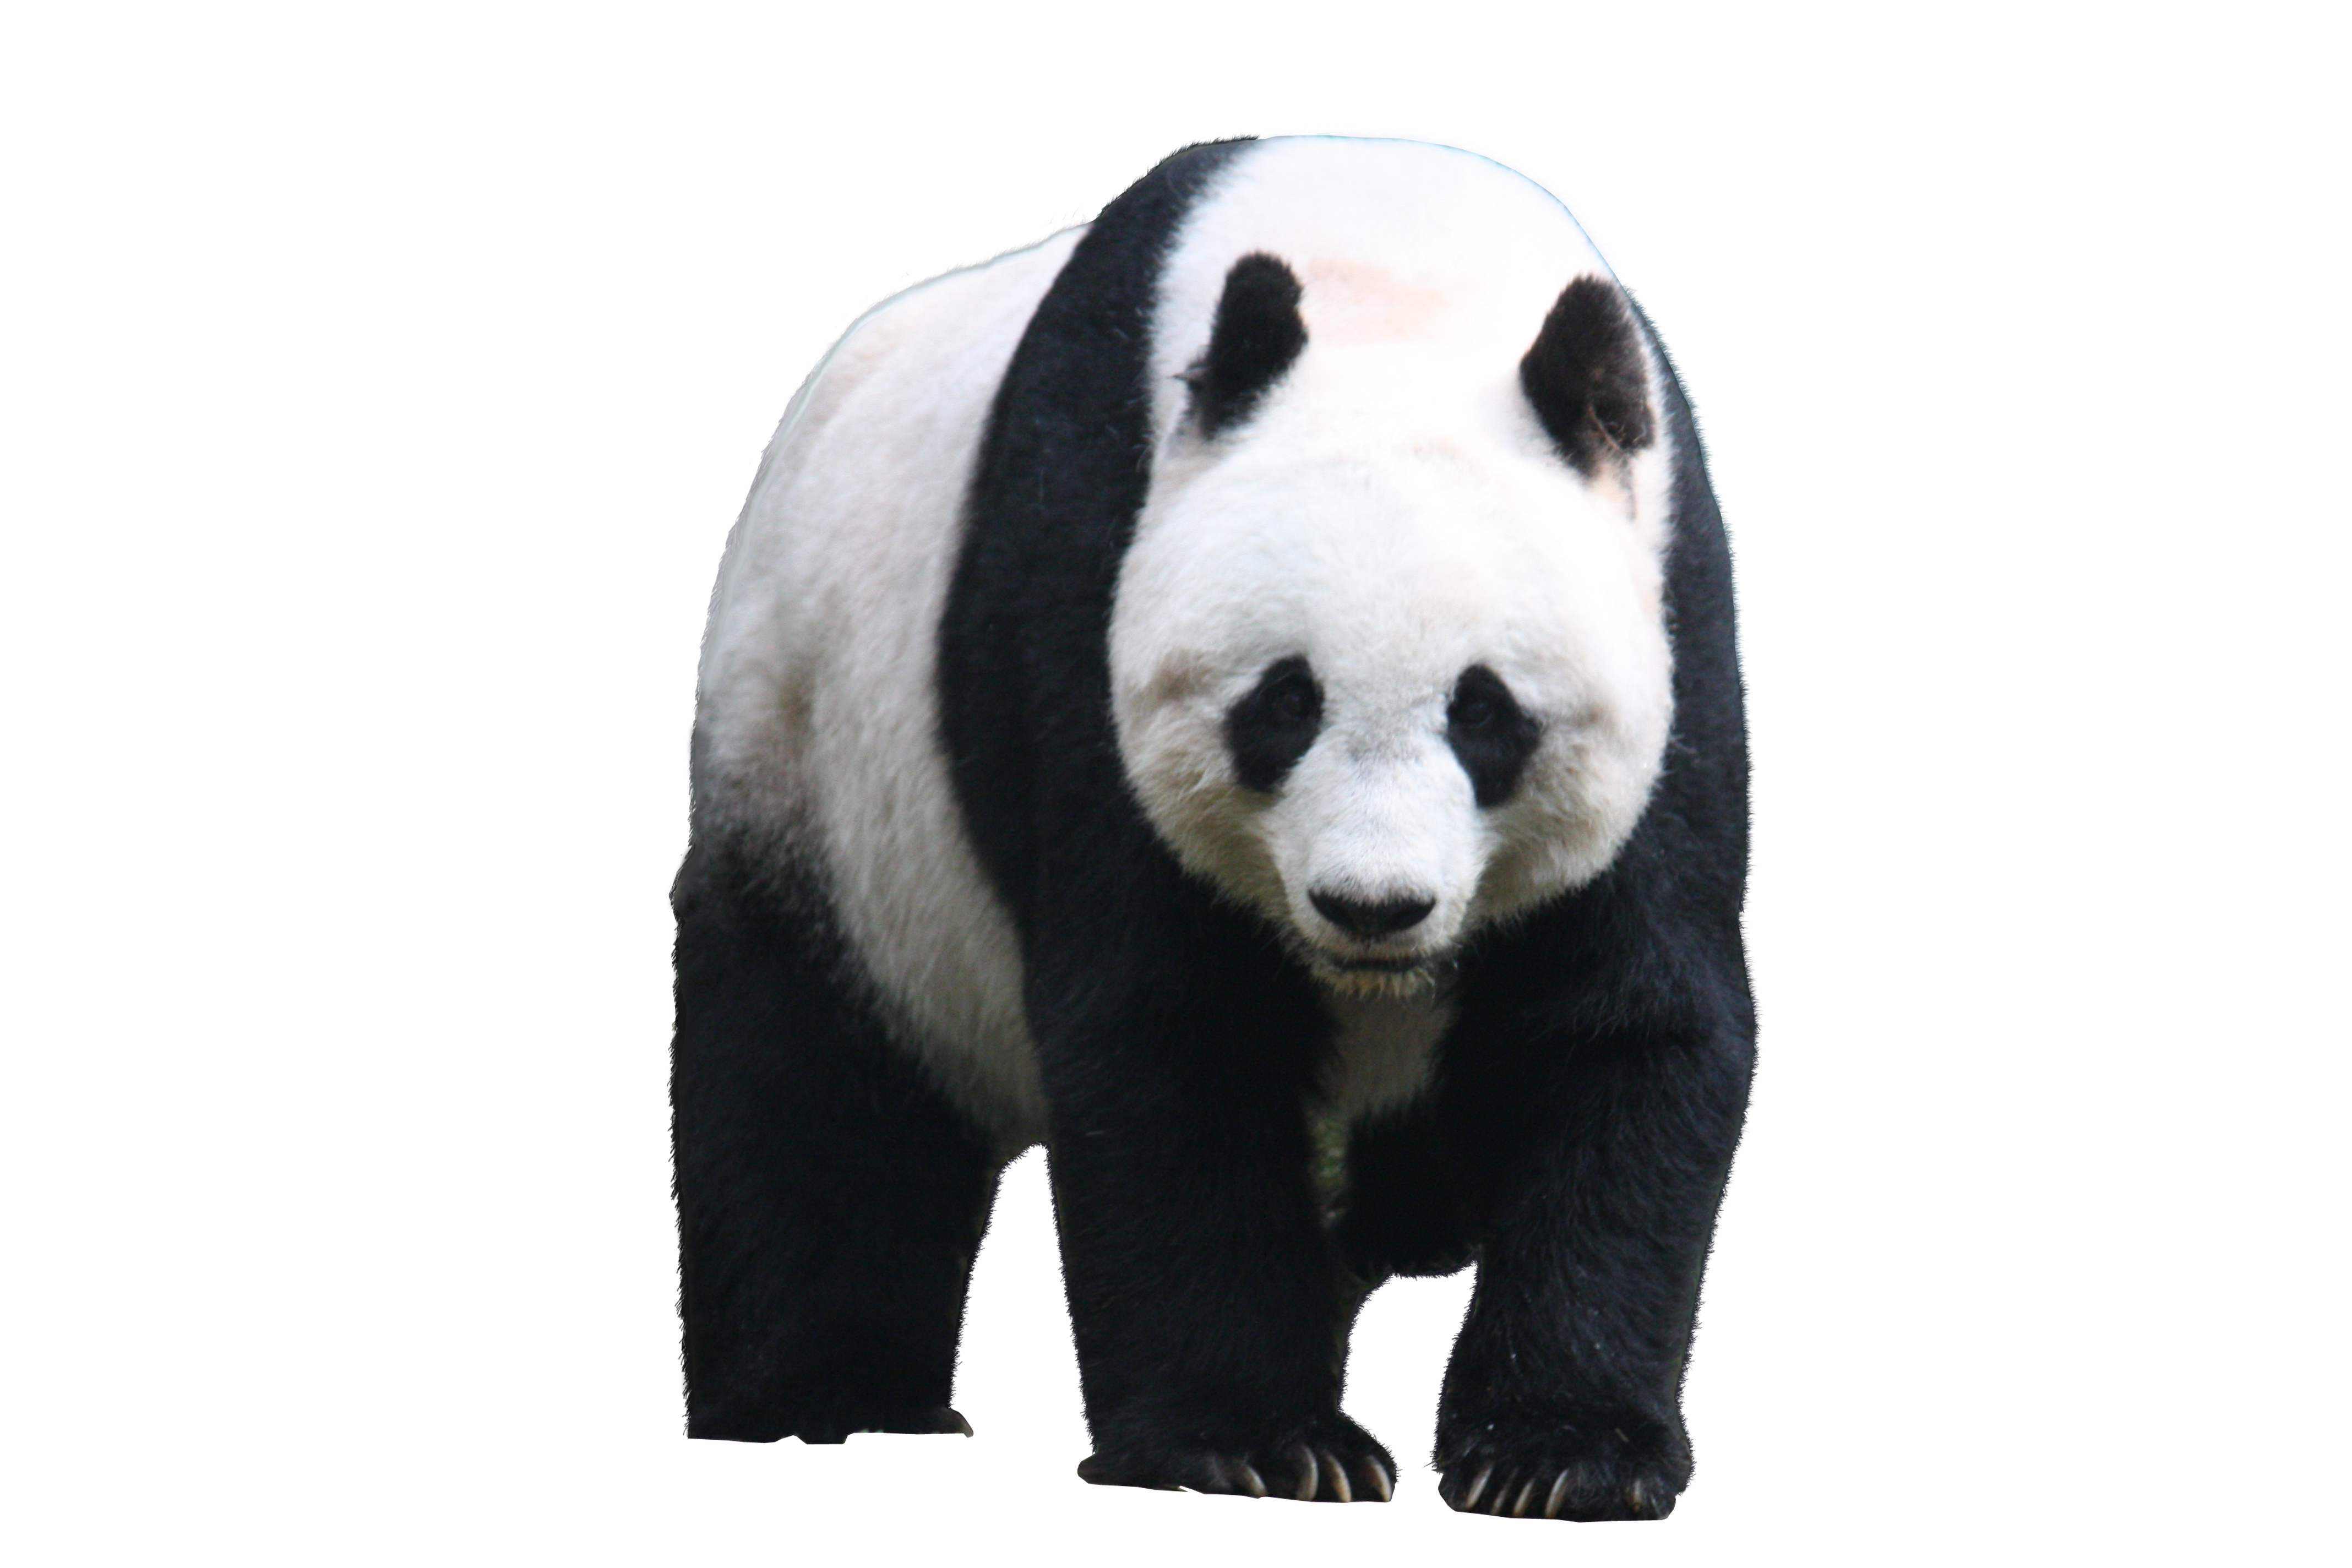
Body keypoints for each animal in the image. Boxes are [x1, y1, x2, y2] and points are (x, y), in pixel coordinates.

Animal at [671, 135, 1753, 1519]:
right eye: (1283, 703)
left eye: (1486, 712)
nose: (1372, 905)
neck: (1394, 276)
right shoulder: (1083, 586)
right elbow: (1172, 1035)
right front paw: (1260, 1441)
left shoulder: (1671, 617)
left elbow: (1617, 1026)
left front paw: (1557, 1449)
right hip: (810, 761)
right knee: (807, 1076)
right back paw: (830, 1392)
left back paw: (1417, 1220)